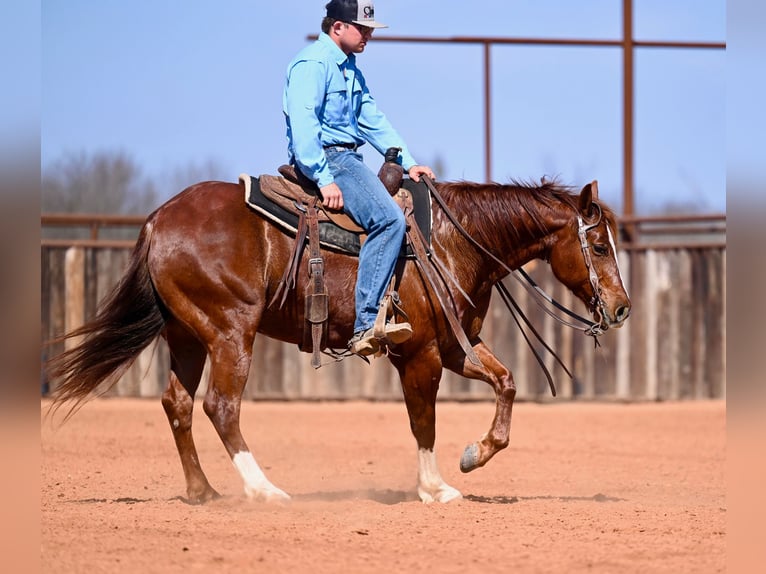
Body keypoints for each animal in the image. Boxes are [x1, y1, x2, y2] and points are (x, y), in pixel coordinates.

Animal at [47, 175, 631, 504]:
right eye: (600, 246)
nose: (622, 307)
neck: (450, 240)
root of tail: (158, 219)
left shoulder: (453, 347)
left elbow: (506, 383)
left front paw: (474, 455)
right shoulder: (419, 355)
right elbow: (423, 421)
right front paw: (435, 487)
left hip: (185, 334)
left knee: (179, 404)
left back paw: (202, 491)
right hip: (230, 331)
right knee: (221, 405)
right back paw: (263, 490)